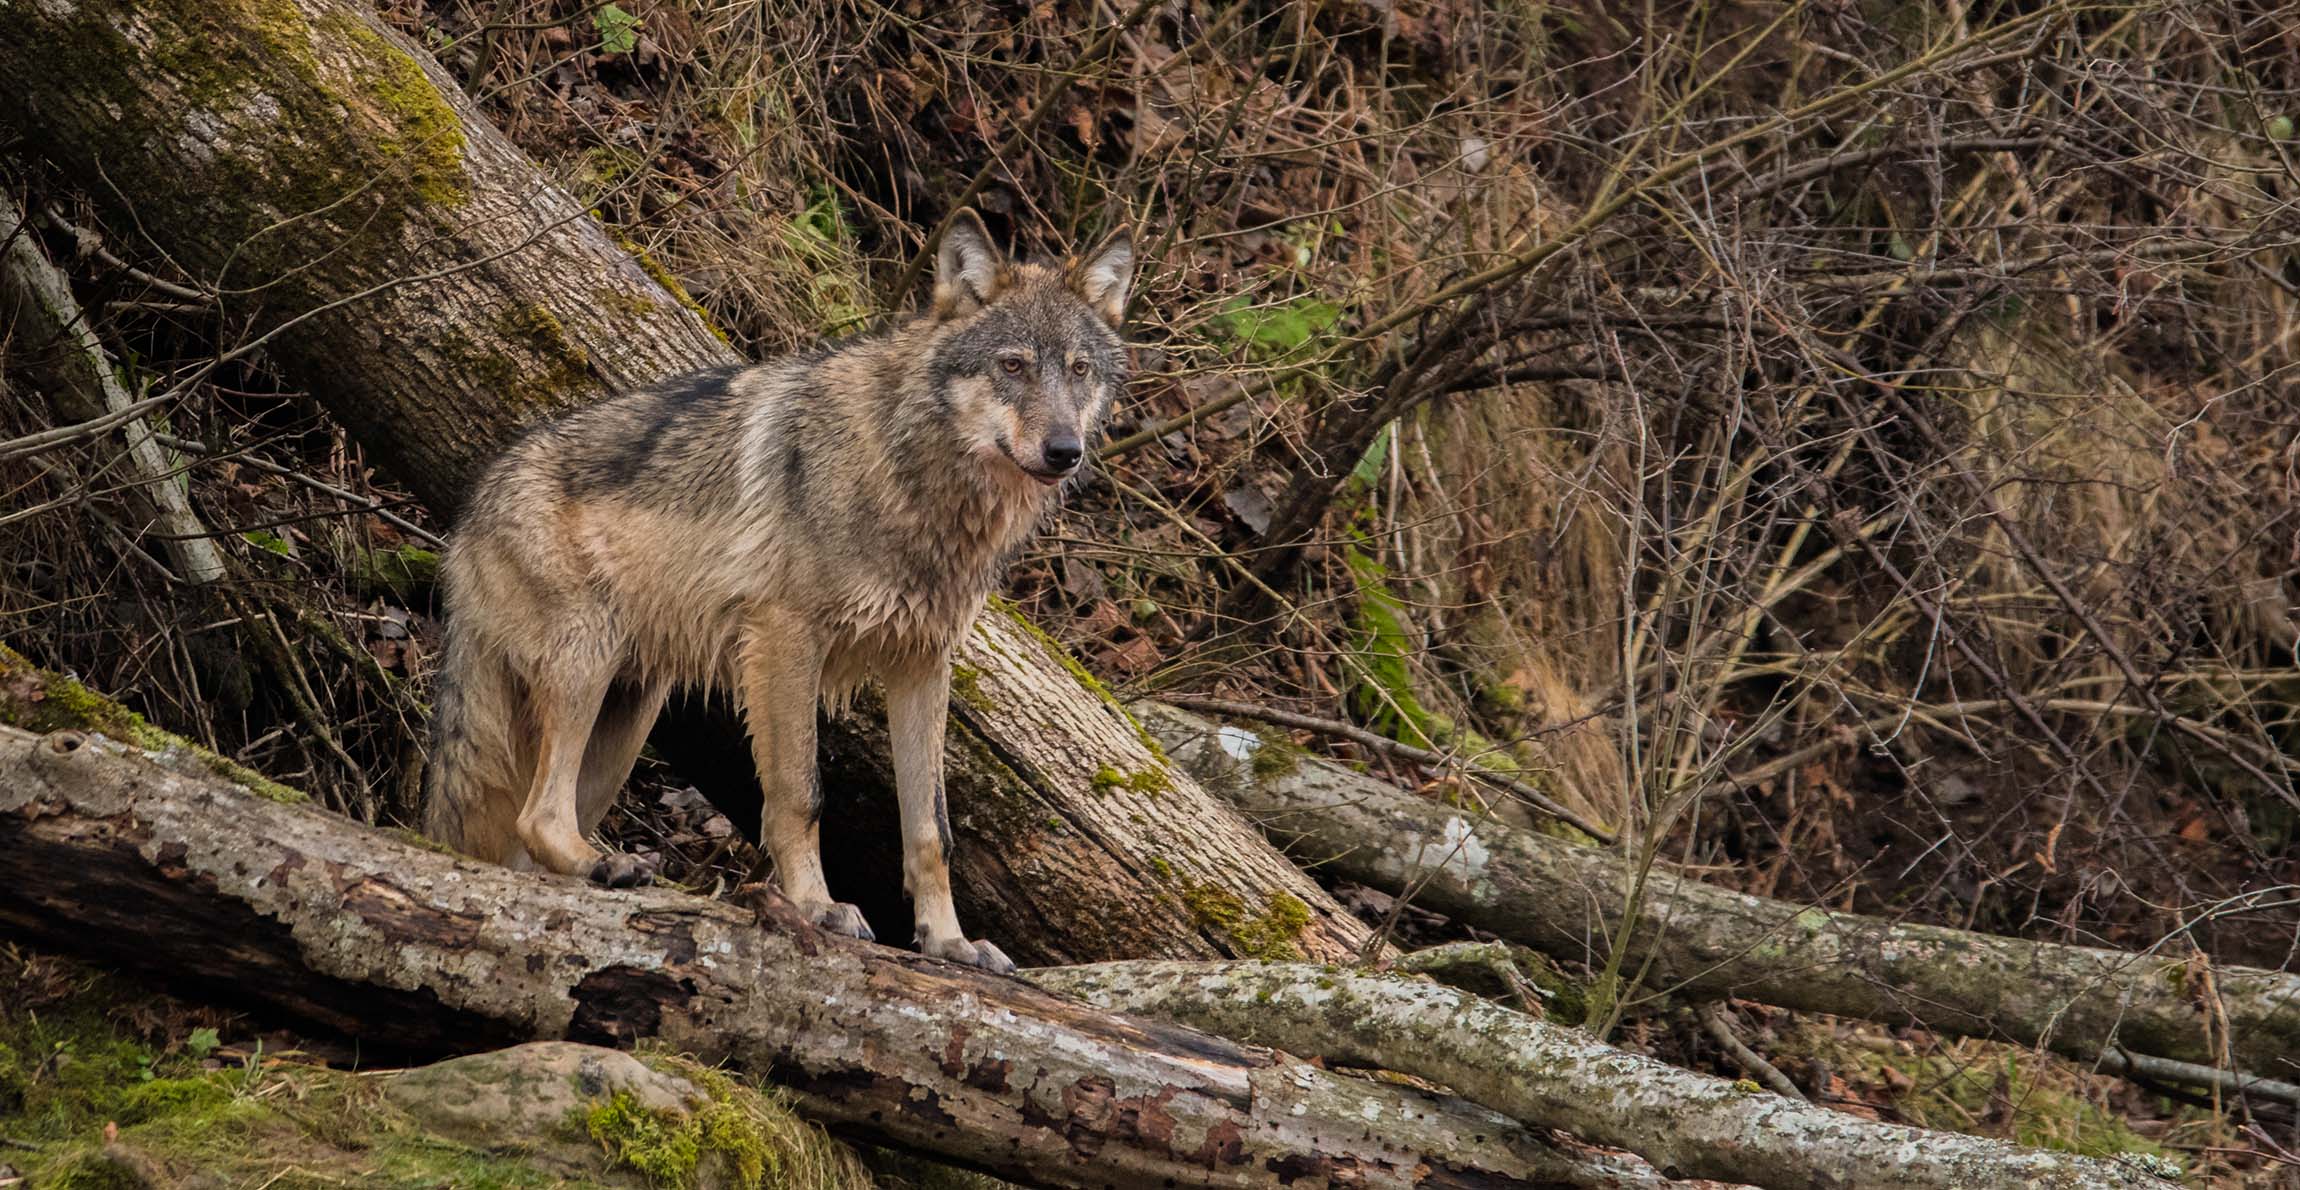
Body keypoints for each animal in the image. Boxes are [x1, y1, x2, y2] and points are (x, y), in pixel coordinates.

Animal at [421, 211, 1133, 973]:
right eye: (1013, 365)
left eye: (1079, 370)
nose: (1065, 451)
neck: (913, 482)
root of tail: (470, 513)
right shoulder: (786, 640)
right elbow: (800, 793)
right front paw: (817, 906)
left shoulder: (922, 665)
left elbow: (930, 830)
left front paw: (950, 942)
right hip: (587, 669)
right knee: (538, 815)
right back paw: (604, 865)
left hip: (625, 717)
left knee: (529, 844)